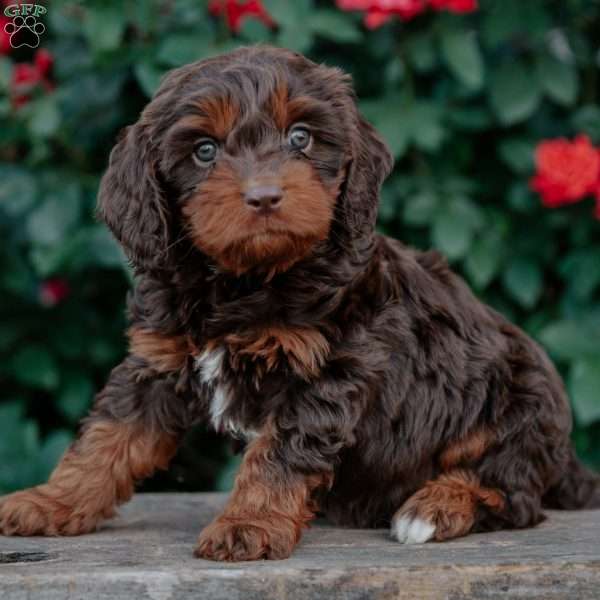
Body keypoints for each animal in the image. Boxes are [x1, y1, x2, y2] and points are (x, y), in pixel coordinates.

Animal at [2, 44, 596, 560]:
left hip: (517, 410)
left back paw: (431, 507)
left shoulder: (324, 370)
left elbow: (278, 456)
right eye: (204, 150)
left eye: (301, 137)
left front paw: (248, 525)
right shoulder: (157, 362)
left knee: (512, 494)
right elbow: (106, 438)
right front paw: (49, 502)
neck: (244, 281)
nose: (265, 197)